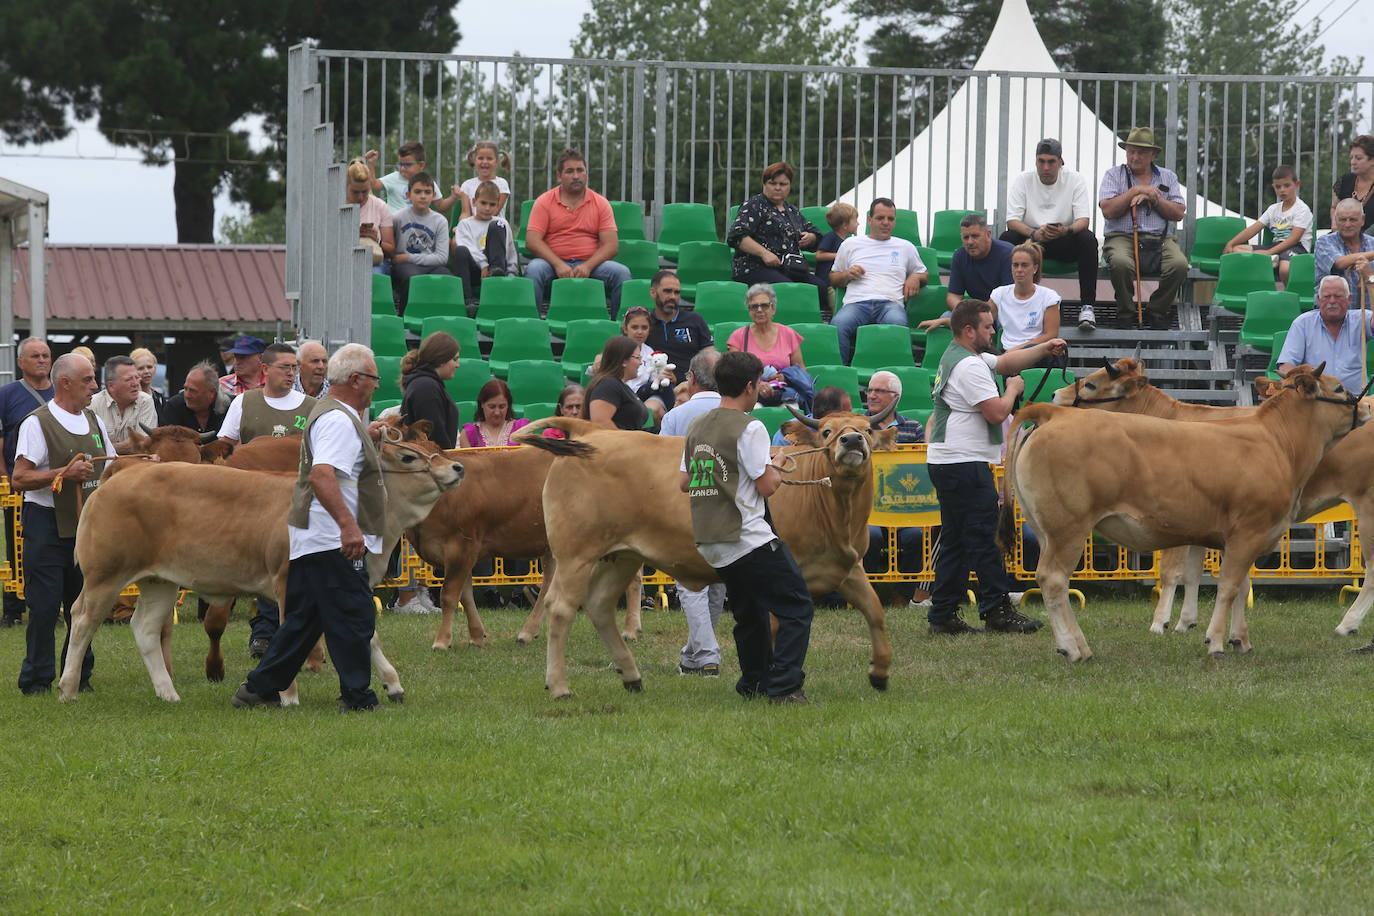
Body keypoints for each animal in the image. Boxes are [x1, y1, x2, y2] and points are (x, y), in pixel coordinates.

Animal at [519, 403, 895, 697]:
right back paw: (559, 685)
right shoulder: (785, 572)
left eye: (868, 430)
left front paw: (880, 672)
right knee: (561, 608)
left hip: (622, 556)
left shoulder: (848, 566)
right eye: (828, 431)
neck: (835, 511)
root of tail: (592, 433)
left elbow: (874, 610)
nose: (851, 440)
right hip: (575, 554)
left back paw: (631, 675)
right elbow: (779, 628)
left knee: (599, 606)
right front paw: (784, 684)